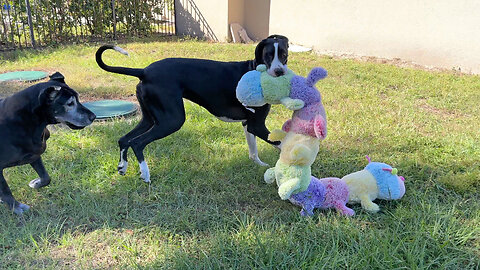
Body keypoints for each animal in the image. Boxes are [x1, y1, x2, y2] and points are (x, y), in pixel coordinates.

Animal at [0, 73, 95, 214]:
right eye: (70, 103)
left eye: (78, 99)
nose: (93, 117)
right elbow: (6, 190)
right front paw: (16, 207)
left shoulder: (34, 154)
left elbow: (46, 177)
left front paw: (36, 183)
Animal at [95, 33, 286, 181]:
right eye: (268, 55)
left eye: (284, 54)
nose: (280, 72)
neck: (255, 69)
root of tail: (144, 71)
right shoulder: (257, 125)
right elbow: (282, 143)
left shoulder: (248, 124)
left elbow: (253, 151)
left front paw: (259, 165)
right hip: (172, 120)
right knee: (137, 143)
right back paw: (146, 173)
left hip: (150, 119)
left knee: (124, 139)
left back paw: (123, 167)